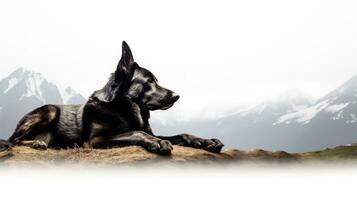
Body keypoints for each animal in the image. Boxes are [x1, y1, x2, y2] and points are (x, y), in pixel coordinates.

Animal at [0, 41, 222, 155]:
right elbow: (136, 132)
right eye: (149, 81)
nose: (177, 96)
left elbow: (181, 134)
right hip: (49, 110)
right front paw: (156, 142)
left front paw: (204, 141)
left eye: (156, 80)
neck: (122, 109)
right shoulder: (95, 141)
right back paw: (37, 144)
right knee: (14, 140)